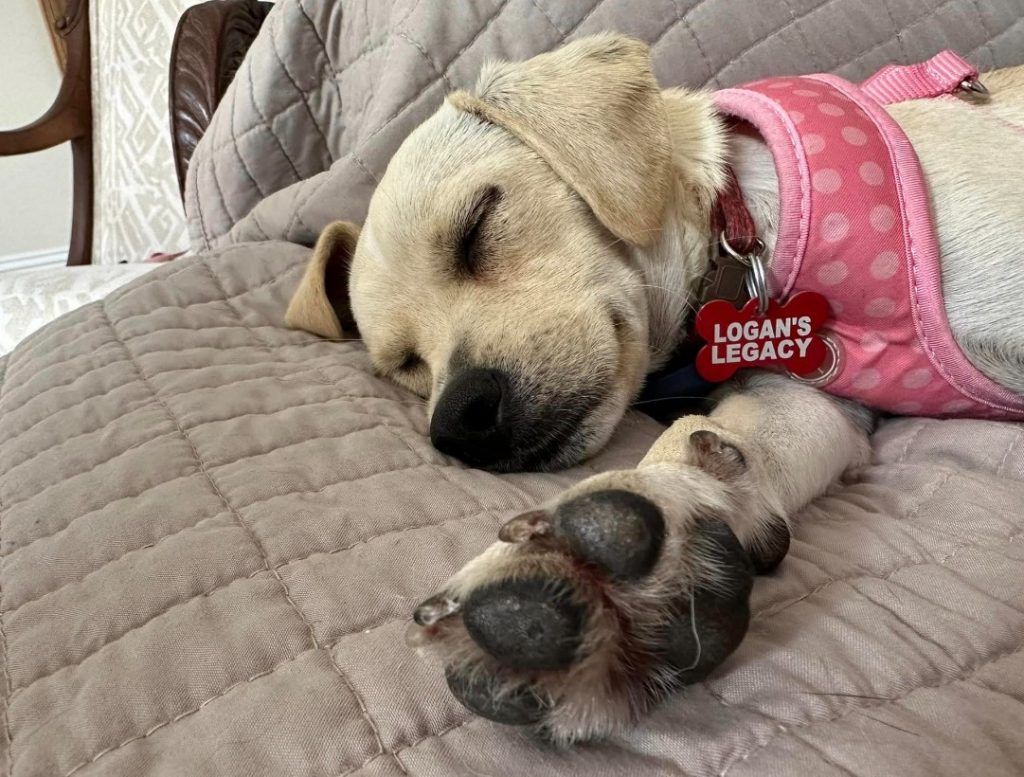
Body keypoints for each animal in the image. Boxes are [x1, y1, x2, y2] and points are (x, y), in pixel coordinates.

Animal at [284, 33, 1024, 745]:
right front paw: (620, 545)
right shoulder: (812, 396)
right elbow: (704, 438)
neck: (744, 225)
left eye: (477, 225)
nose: (459, 421)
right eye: (406, 363)